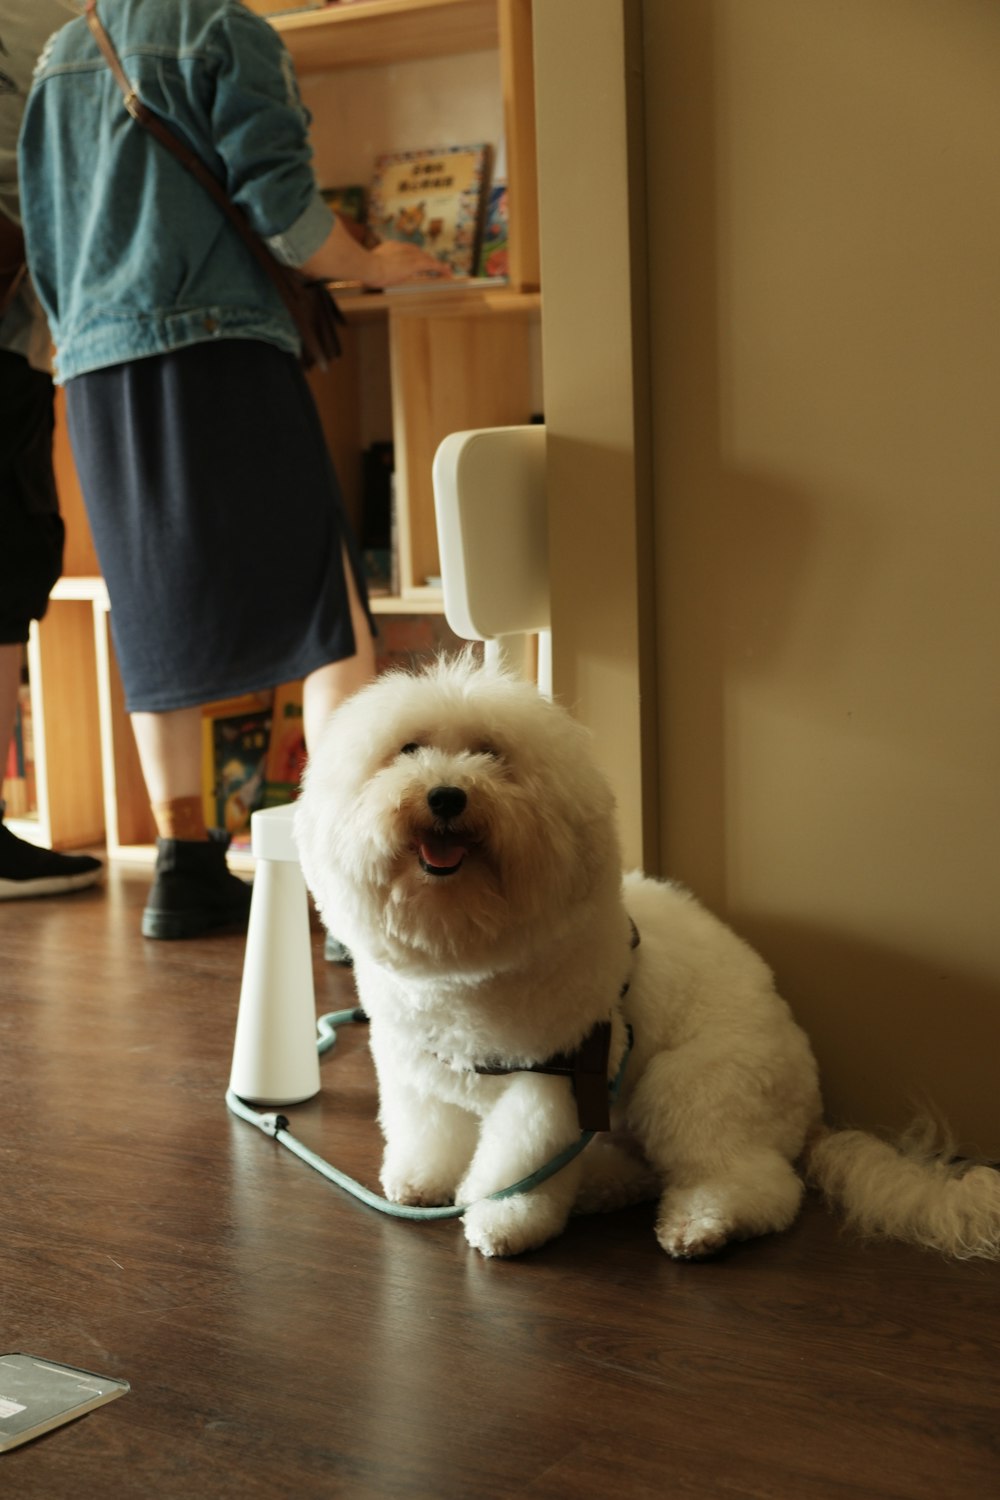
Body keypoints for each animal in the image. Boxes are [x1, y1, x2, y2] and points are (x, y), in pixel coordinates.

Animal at [295, 663, 1000, 1260]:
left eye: (492, 755)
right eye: (407, 750)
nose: (446, 796)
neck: (468, 966)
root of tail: (814, 1118)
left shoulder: (559, 1080)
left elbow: (519, 1164)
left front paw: (503, 1220)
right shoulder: (415, 1068)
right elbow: (426, 1134)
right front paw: (422, 1183)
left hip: (688, 1088)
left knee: (755, 1185)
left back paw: (700, 1224)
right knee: (642, 1171)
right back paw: (607, 1189)